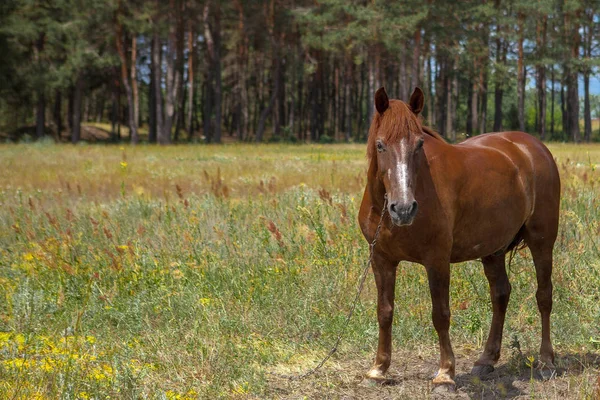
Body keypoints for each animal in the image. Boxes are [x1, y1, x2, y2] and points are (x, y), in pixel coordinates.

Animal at [358, 86, 560, 388]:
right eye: (381, 145)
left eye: (419, 145)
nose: (403, 209)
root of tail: (534, 147)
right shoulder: (381, 260)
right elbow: (385, 311)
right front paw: (378, 369)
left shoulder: (437, 260)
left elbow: (440, 314)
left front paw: (445, 374)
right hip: (493, 249)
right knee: (501, 295)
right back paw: (486, 360)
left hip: (542, 241)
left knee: (544, 296)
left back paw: (546, 361)